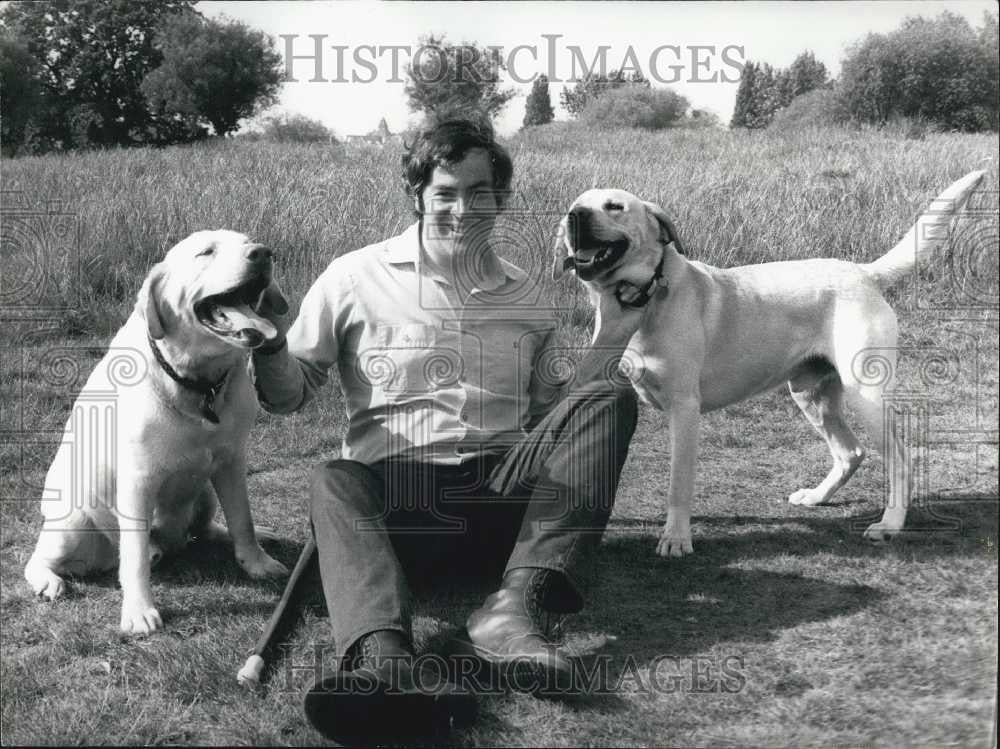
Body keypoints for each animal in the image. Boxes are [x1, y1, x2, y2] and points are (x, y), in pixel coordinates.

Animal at [24, 228, 290, 632]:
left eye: (248, 241)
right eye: (206, 252)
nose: (262, 253)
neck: (197, 383)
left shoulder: (231, 461)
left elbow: (242, 518)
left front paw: (257, 561)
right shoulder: (138, 481)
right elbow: (132, 558)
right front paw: (138, 611)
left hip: (204, 490)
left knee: (208, 529)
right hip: (72, 524)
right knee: (39, 558)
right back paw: (49, 580)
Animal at [556, 169, 984, 556]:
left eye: (615, 206)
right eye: (577, 204)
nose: (574, 216)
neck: (649, 300)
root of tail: (863, 272)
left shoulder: (684, 410)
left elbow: (679, 484)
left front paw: (676, 538)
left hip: (866, 396)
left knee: (900, 460)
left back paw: (890, 523)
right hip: (811, 395)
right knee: (851, 452)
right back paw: (817, 496)